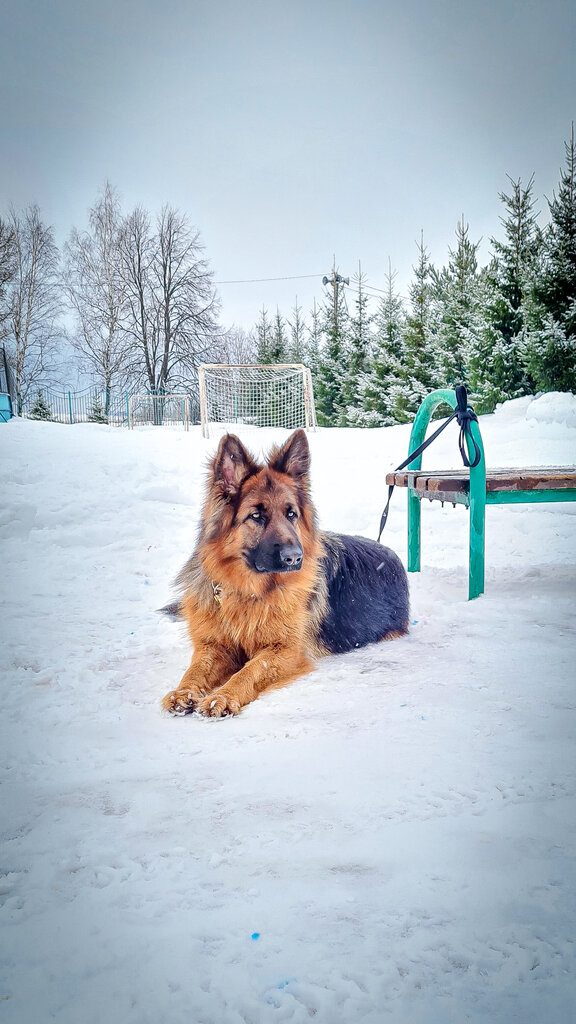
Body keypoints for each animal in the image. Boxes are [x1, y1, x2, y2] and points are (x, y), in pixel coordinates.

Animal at [161, 432, 407, 720]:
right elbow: (195, 669)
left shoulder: (286, 650)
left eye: (292, 514)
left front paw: (223, 696)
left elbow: (249, 671)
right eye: (256, 516)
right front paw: (182, 692)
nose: (294, 558)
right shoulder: (213, 647)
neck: (248, 591)